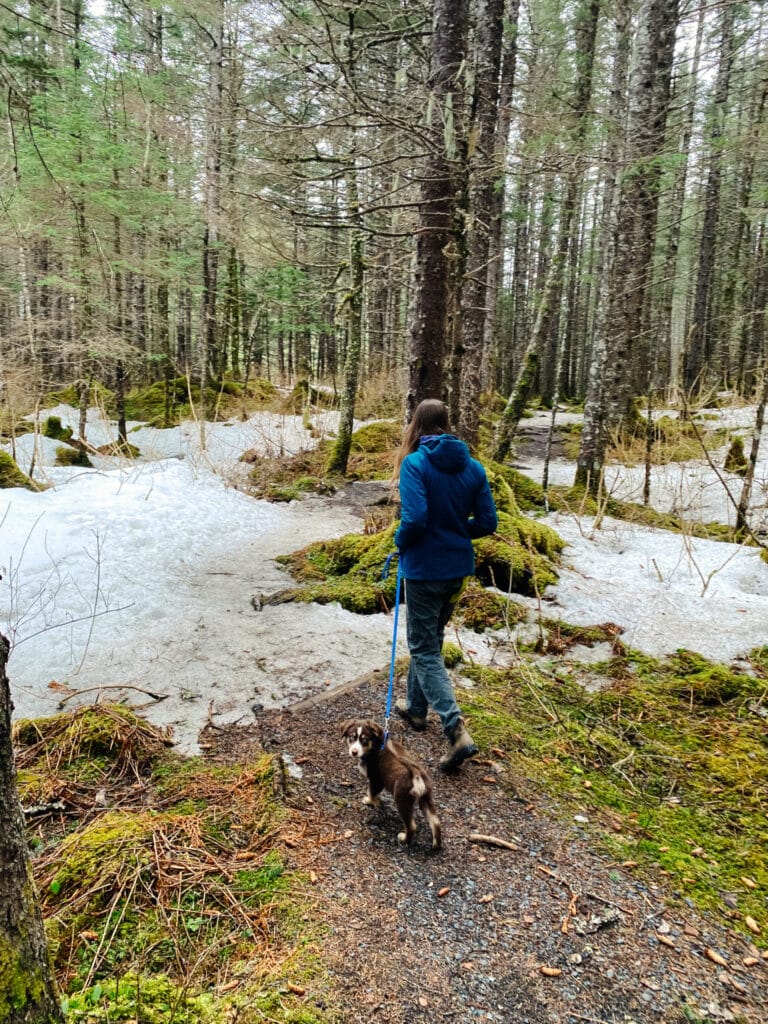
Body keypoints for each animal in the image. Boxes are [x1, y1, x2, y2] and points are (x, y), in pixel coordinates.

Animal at [342, 716, 442, 851]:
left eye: (365, 740)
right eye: (351, 737)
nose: (354, 752)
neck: (376, 745)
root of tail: (417, 774)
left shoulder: (377, 780)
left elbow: (371, 792)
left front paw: (371, 801)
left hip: (402, 800)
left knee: (411, 826)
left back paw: (404, 839)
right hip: (426, 798)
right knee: (435, 822)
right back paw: (436, 845)